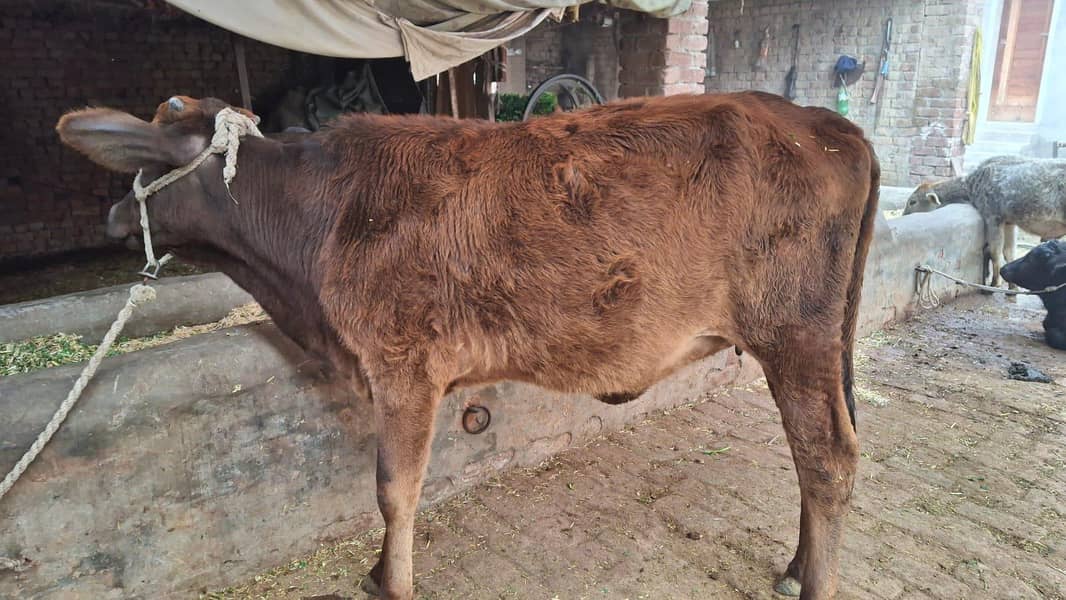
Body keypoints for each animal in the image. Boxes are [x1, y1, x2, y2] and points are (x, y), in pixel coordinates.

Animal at [56, 91, 880, 600]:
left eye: (145, 161)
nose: (109, 219)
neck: (315, 225)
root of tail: (821, 121)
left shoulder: (402, 366)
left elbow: (394, 489)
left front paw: (391, 582)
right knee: (817, 459)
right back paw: (796, 565)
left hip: (797, 337)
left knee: (829, 459)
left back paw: (815, 581)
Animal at [903, 155, 1066, 288]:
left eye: (912, 201)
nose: (904, 215)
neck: (971, 186)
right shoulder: (1009, 222)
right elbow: (1009, 252)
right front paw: (1012, 288)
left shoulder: (992, 217)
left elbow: (995, 251)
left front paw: (994, 283)